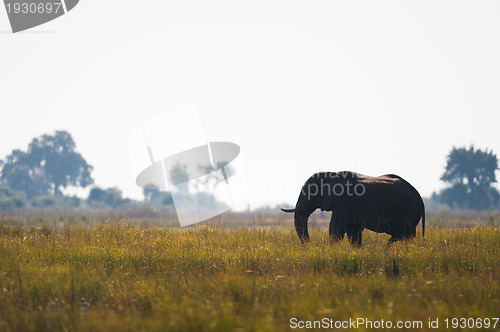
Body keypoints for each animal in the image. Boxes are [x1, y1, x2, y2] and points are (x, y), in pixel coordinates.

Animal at [282, 172, 426, 245]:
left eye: (310, 192)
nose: (309, 245)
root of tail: (418, 196)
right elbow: (354, 233)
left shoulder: (344, 204)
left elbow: (335, 230)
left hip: (407, 213)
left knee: (405, 235)